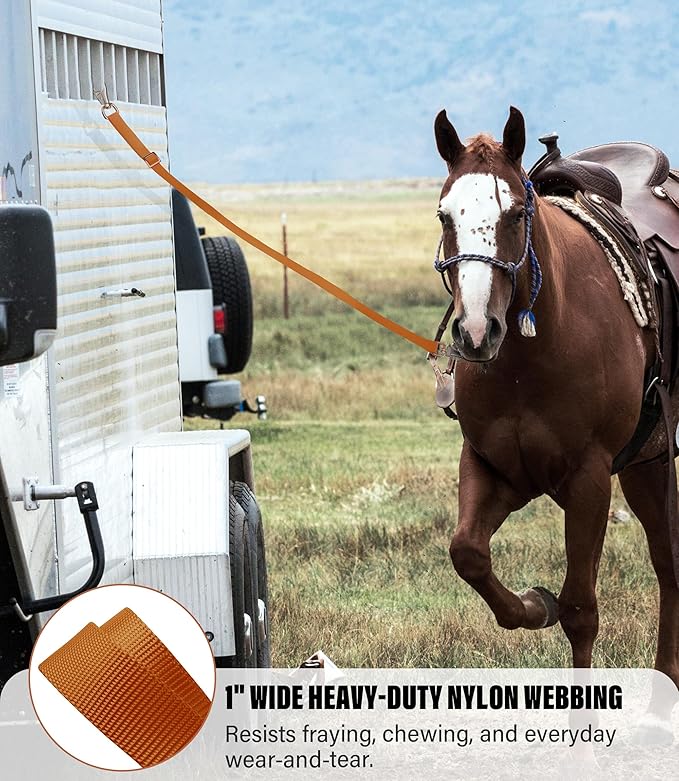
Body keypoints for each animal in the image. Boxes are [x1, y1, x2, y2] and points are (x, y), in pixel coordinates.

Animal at [433, 107, 679, 693]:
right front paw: (532, 603)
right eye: (445, 216)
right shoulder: (494, 468)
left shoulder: (588, 480)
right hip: (646, 462)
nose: (476, 332)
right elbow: (468, 553)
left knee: (668, 566)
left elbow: (581, 611)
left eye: (517, 212)